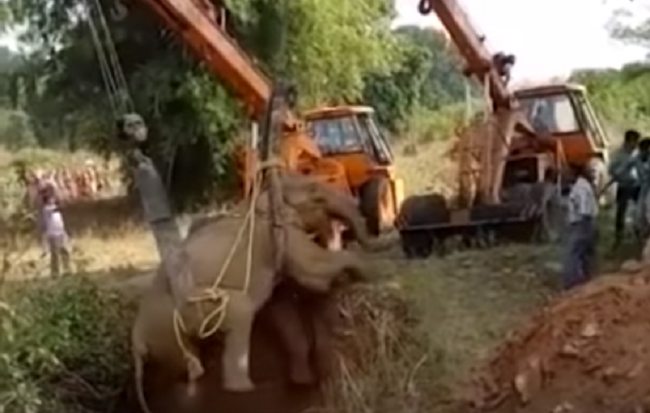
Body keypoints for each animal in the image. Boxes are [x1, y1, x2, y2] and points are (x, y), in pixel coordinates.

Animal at [132, 171, 382, 412]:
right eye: (315, 194)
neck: (260, 198)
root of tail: (137, 340)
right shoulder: (283, 234)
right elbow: (313, 270)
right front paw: (368, 271)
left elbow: (281, 304)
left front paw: (303, 381)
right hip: (190, 310)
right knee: (240, 310)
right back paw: (243, 389)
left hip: (168, 338)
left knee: (183, 370)